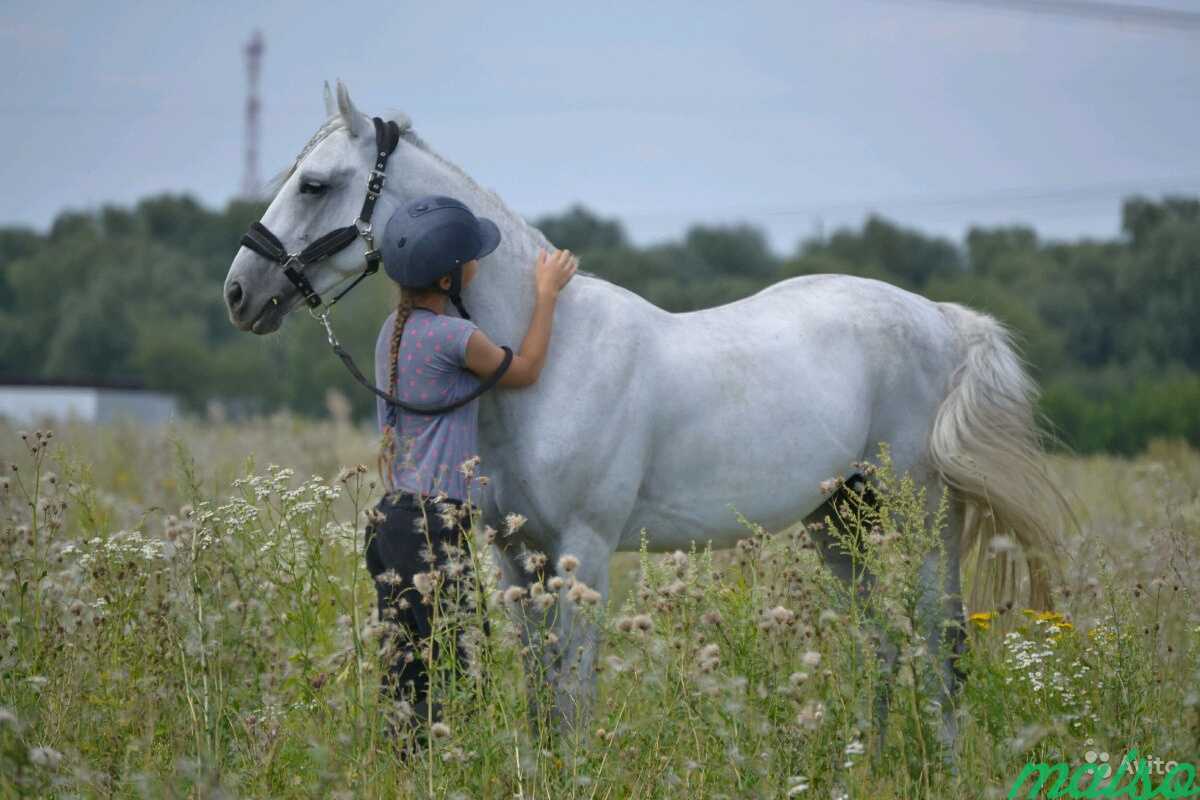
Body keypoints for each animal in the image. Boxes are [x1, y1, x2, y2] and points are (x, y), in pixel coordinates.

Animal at [223, 81, 1060, 753]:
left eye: (314, 184)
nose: (239, 292)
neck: (547, 357)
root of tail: (942, 320)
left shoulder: (584, 551)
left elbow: (573, 690)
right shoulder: (516, 557)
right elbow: (539, 689)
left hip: (923, 518)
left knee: (940, 640)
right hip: (837, 522)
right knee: (886, 640)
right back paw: (873, 762)